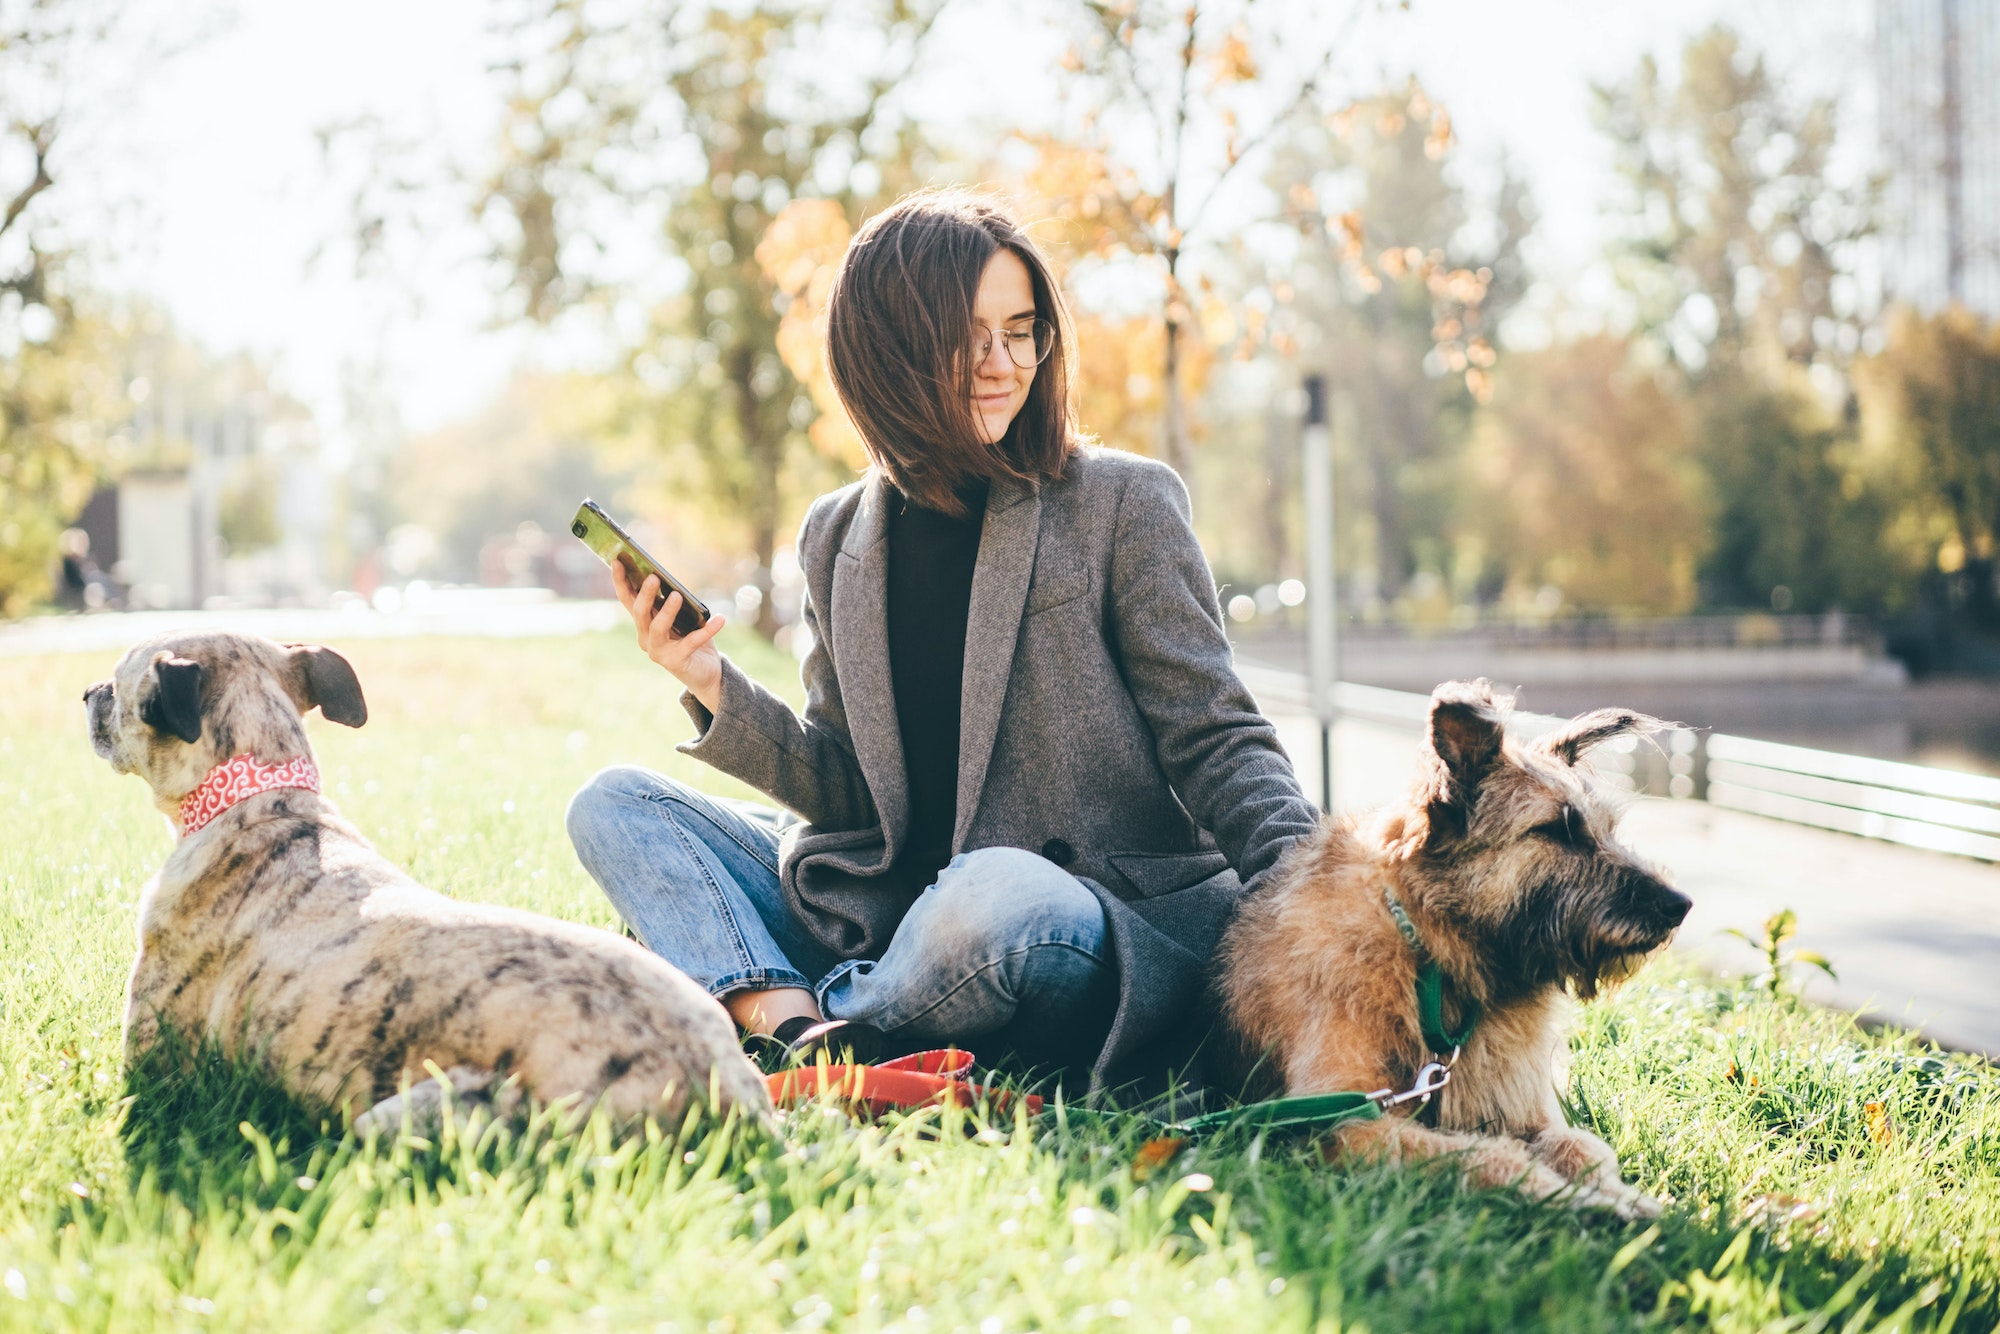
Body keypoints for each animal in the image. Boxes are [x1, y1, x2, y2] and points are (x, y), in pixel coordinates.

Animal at [82, 632, 764, 1136]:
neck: (263, 802)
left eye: (115, 684)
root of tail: (729, 1094)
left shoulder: (153, 1062)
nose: (87, 691)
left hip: (423, 1111)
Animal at [1216, 684, 1688, 1216]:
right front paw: (1582, 1202)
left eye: (1607, 828)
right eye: (1555, 830)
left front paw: (1626, 1198)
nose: (1680, 905)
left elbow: (1581, 1147)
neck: (1436, 959)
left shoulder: (1525, 1108)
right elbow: (1484, 1157)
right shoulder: (1345, 1122)